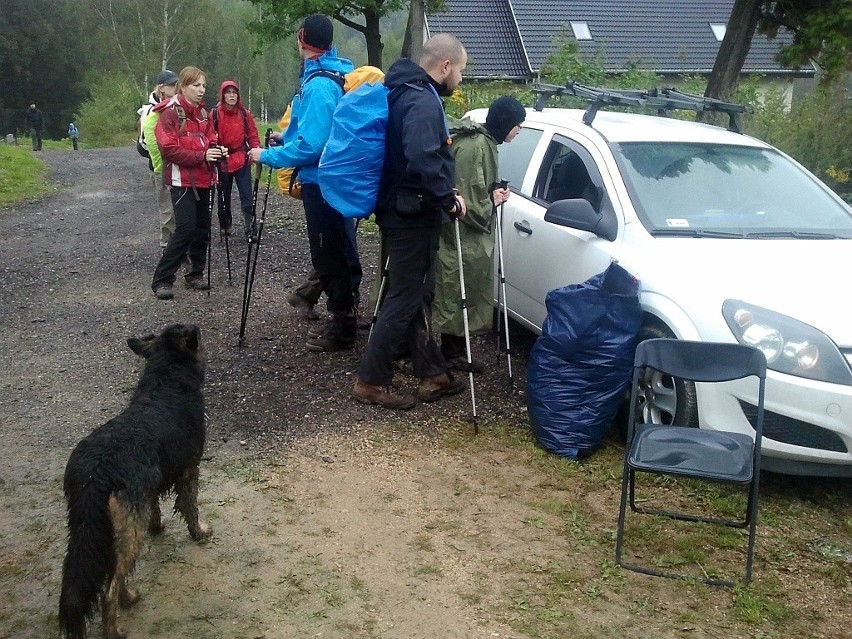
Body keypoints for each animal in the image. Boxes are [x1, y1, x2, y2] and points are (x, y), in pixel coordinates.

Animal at [59, 324, 211, 639]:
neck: (166, 383)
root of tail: (95, 472)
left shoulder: (150, 487)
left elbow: (155, 507)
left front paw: (158, 527)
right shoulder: (189, 470)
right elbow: (190, 507)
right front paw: (199, 532)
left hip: (92, 528)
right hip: (129, 530)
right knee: (110, 585)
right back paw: (118, 618)